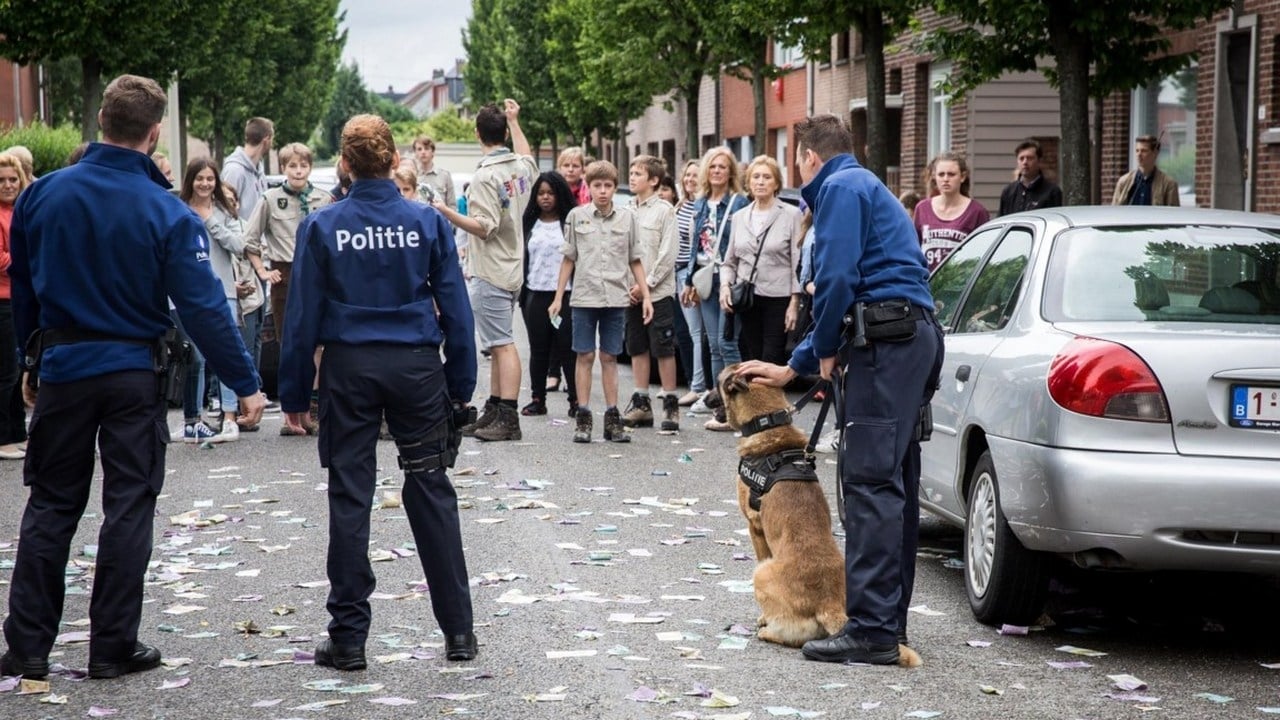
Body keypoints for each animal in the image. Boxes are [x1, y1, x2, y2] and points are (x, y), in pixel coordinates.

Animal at [711, 363, 921, 666]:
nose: (706, 399)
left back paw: (768, 631)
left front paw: (762, 618)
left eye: (717, 382)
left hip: (761, 574)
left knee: (793, 636)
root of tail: (828, 603)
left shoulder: (755, 528)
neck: (768, 424)